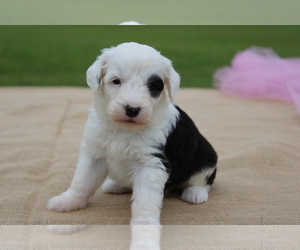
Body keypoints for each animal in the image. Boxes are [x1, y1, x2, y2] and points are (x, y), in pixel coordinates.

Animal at [45, 42, 217, 226]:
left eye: (153, 86)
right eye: (116, 81)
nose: (132, 109)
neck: (123, 130)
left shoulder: (151, 164)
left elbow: (145, 200)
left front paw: (144, 226)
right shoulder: (94, 154)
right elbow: (82, 181)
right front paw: (67, 201)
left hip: (206, 157)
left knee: (203, 181)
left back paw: (195, 193)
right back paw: (116, 185)